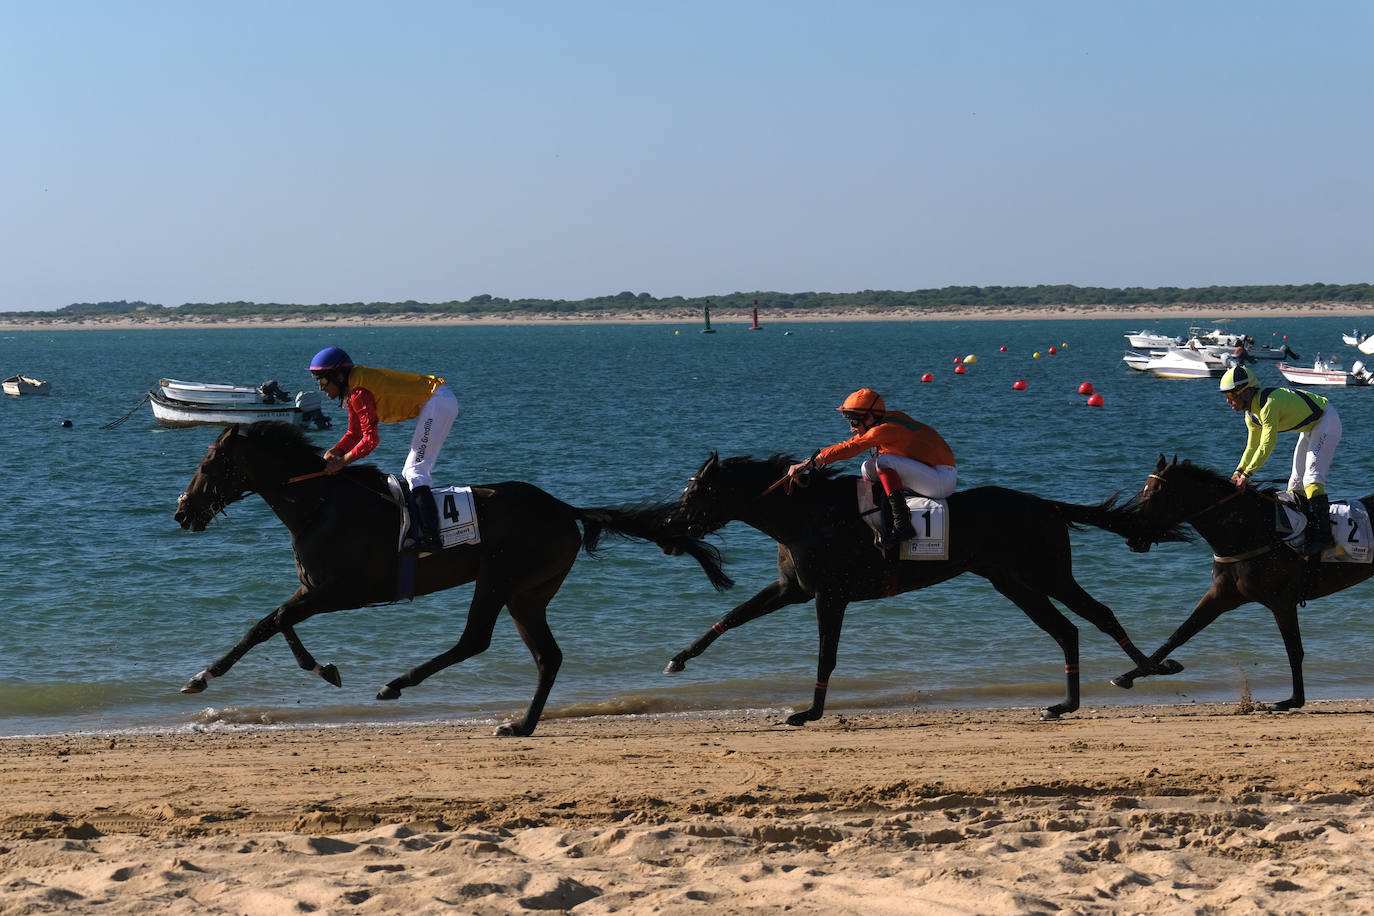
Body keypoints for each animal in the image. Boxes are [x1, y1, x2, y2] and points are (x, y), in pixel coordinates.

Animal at [173, 422, 736, 736]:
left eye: (209, 464)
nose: (182, 512)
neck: (321, 504)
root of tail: (563, 508)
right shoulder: (316, 591)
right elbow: (277, 622)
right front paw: (324, 668)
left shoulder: (339, 592)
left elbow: (264, 624)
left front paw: (201, 677)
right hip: (529, 594)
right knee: (546, 656)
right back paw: (521, 725)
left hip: (500, 578)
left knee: (475, 639)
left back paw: (396, 684)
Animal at [662, 453, 1181, 725]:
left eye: (700, 491)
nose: (669, 525)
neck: (807, 516)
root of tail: (1046, 505)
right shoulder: (792, 588)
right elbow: (731, 618)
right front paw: (678, 659)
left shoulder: (830, 595)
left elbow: (826, 656)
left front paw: (809, 712)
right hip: (1011, 582)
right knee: (1066, 628)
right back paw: (1066, 702)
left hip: (1047, 573)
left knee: (1099, 614)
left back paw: (1145, 669)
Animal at [1110, 455, 1374, 714]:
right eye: (1141, 494)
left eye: (1154, 496)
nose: (1131, 538)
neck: (1250, 530)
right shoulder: (1221, 595)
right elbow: (1180, 634)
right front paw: (1128, 676)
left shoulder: (1282, 601)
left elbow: (1293, 650)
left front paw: (1293, 700)